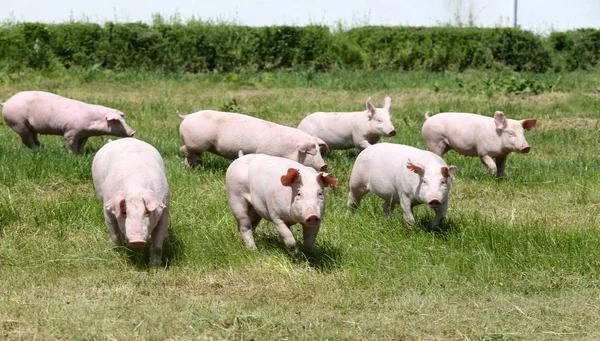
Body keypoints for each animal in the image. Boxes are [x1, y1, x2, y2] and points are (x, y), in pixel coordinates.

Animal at [0, 91, 136, 153]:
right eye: (117, 121)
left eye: (123, 119)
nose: (133, 132)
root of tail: (6, 103)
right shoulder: (71, 131)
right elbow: (71, 144)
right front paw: (73, 155)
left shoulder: (84, 134)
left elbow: (81, 144)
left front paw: (80, 153)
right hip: (18, 123)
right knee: (27, 140)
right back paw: (38, 150)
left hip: (31, 127)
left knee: (34, 137)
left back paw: (43, 148)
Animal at [176, 109, 330, 170]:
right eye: (310, 152)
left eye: (319, 150)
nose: (324, 165)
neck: (290, 148)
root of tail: (187, 116)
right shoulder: (266, 150)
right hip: (197, 142)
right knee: (183, 149)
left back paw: (194, 167)